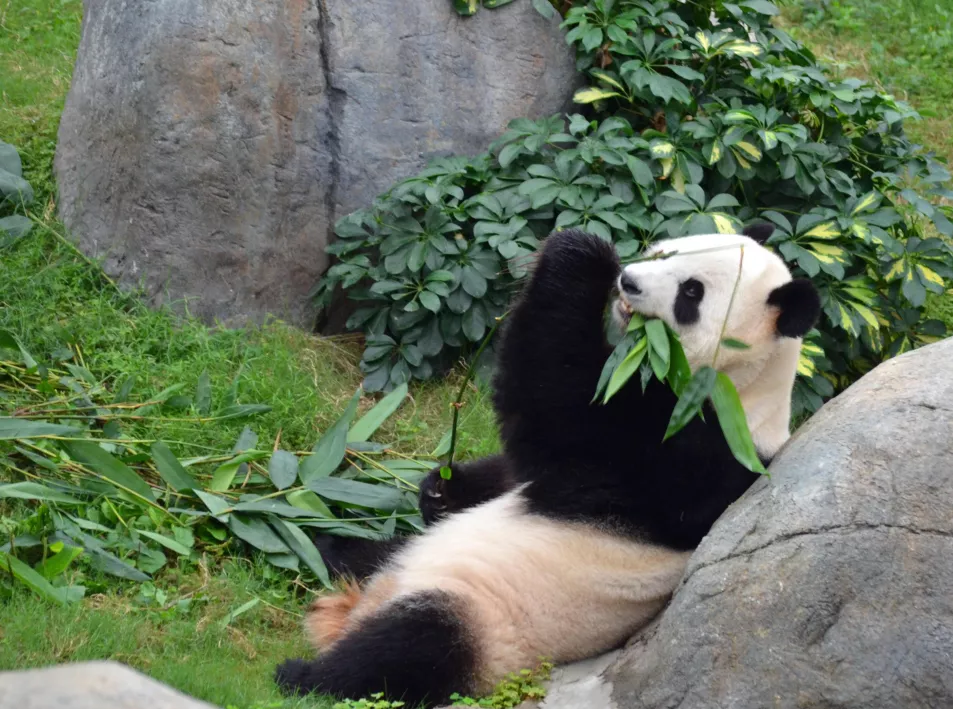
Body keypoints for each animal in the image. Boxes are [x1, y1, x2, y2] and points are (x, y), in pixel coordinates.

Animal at [274, 227, 820, 708]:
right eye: (666, 250)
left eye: (692, 292)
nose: (629, 281)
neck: (744, 385)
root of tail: (358, 608)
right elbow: (516, 471)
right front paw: (439, 489)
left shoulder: (687, 449)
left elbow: (560, 414)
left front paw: (582, 253)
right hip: (408, 560)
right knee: (372, 555)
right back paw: (329, 549)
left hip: (486, 621)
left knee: (408, 651)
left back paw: (303, 676)